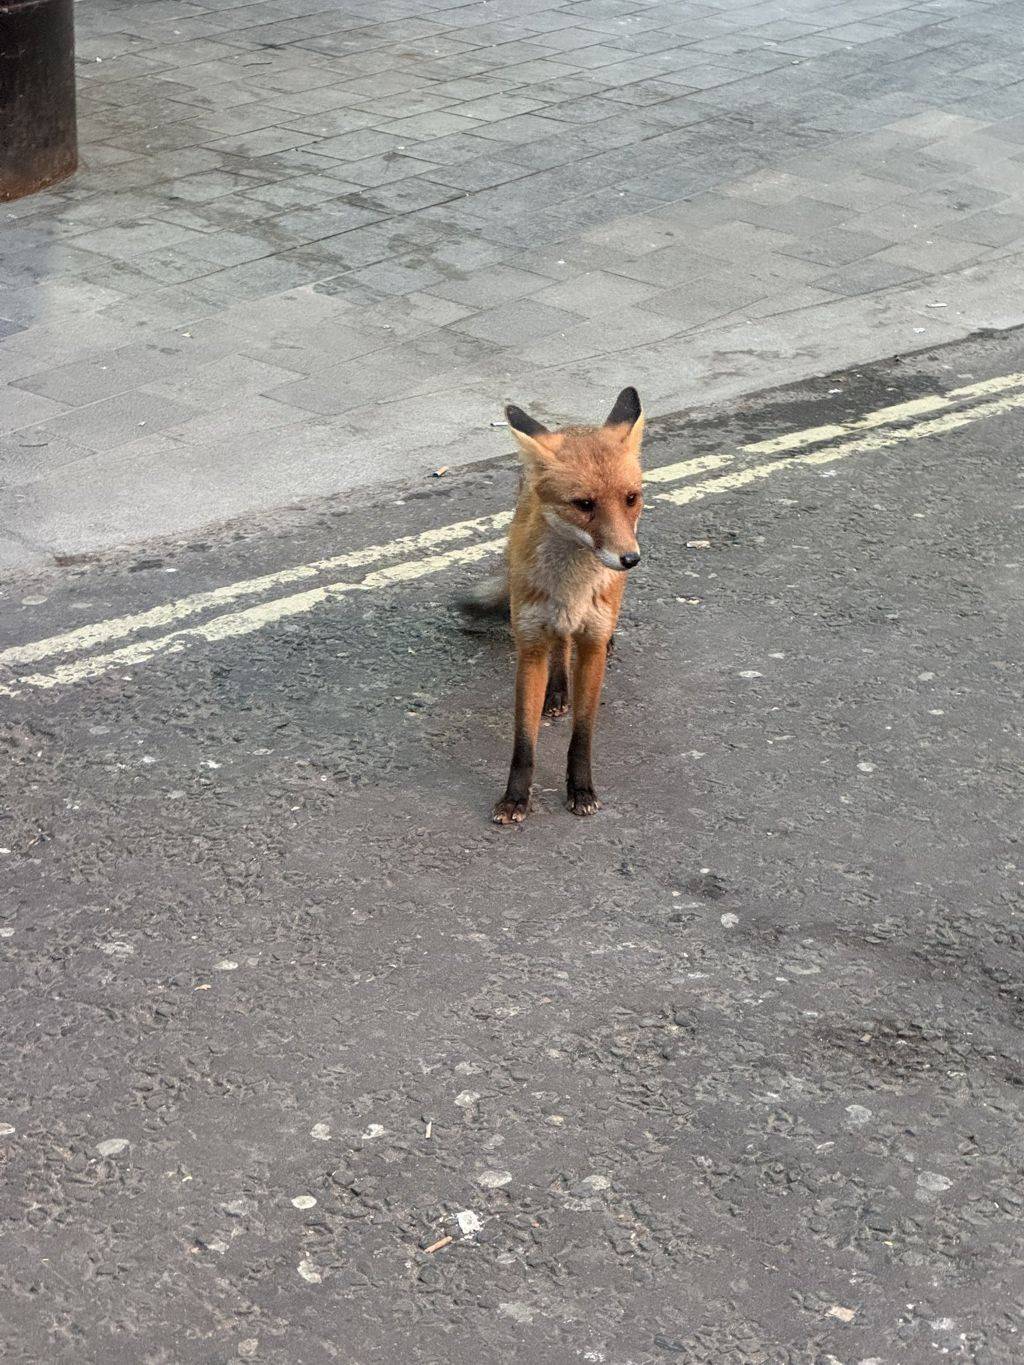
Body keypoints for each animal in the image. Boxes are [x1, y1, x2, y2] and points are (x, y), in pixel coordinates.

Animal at [461, 390, 644, 824]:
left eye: (630, 499)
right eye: (584, 504)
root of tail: (576, 426)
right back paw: (558, 689)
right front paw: (515, 797)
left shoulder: (591, 645)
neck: (571, 589)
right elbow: (523, 741)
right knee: (560, 645)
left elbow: (582, 735)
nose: (630, 559)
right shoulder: (529, 646)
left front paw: (581, 790)